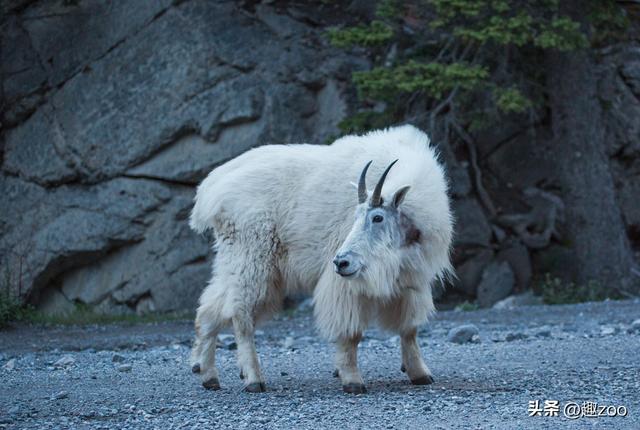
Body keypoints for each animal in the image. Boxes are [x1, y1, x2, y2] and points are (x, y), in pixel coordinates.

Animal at [188, 123, 452, 394]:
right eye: (355, 216)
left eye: (377, 217)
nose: (341, 262)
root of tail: (212, 191)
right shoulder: (347, 284)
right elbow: (351, 331)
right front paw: (352, 379)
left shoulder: (411, 278)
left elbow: (409, 328)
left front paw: (420, 373)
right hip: (253, 258)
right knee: (241, 315)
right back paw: (253, 378)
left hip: (234, 259)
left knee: (211, 308)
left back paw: (208, 375)